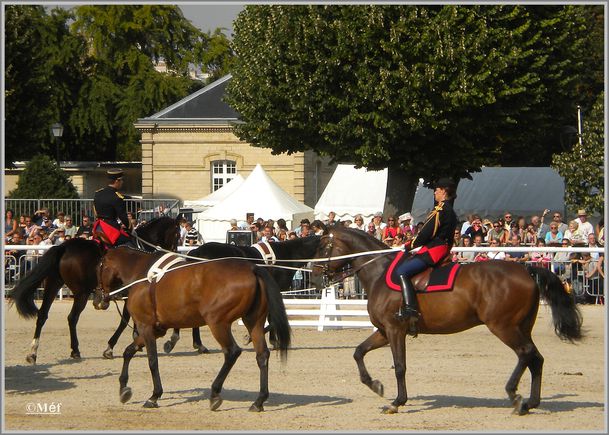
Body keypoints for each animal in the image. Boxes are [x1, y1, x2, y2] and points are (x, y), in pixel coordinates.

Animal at [8, 217, 180, 364]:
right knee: (72, 318)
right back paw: (75, 350)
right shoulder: (130, 293)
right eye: (178, 234)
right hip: (81, 293)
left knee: (43, 315)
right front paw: (111, 347)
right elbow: (124, 320)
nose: (176, 252)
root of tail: (64, 247)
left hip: (53, 285)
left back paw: (33, 352)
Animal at [96, 247, 290, 410]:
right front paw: (124, 388)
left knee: (232, 352)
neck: (142, 274)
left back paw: (215, 393)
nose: (98, 298)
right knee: (262, 355)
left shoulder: (146, 328)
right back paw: (259, 401)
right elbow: (129, 351)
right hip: (253, 322)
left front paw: (154, 396)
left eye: (100, 266)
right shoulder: (154, 330)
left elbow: (152, 361)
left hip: (218, 323)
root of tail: (251, 268)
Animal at [312, 228, 580, 416]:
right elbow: (358, 352)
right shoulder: (383, 331)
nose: (313, 273)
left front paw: (397, 402)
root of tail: (526, 270)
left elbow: (400, 366)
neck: (379, 272)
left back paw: (514, 396)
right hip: (521, 327)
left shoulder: (395, 330)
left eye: (324, 246)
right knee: (536, 358)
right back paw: (530, 403)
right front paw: (375, 385)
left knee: (525, 354)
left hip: (504, 327)